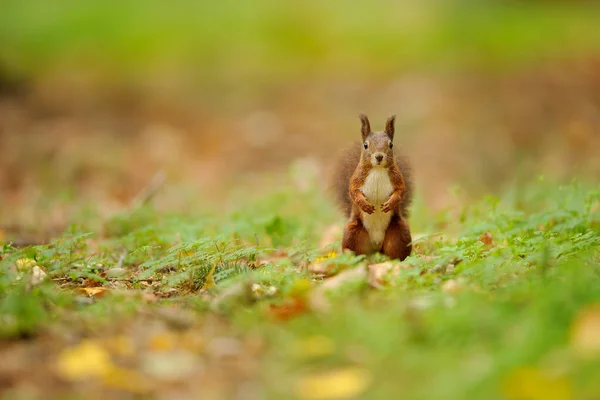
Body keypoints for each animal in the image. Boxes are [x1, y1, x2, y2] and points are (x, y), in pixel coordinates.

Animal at [330, 114, 414, 260]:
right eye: (365, 145)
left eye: (391, 144)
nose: (379, 156)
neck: (377, 170)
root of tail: (376, 246)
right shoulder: (357, 178)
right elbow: (353, 191)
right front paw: (365, 205)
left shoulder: (397, 178)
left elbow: (401, 191)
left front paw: (390, 204)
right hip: (352, 234)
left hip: (400, 233)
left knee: (396, 254)